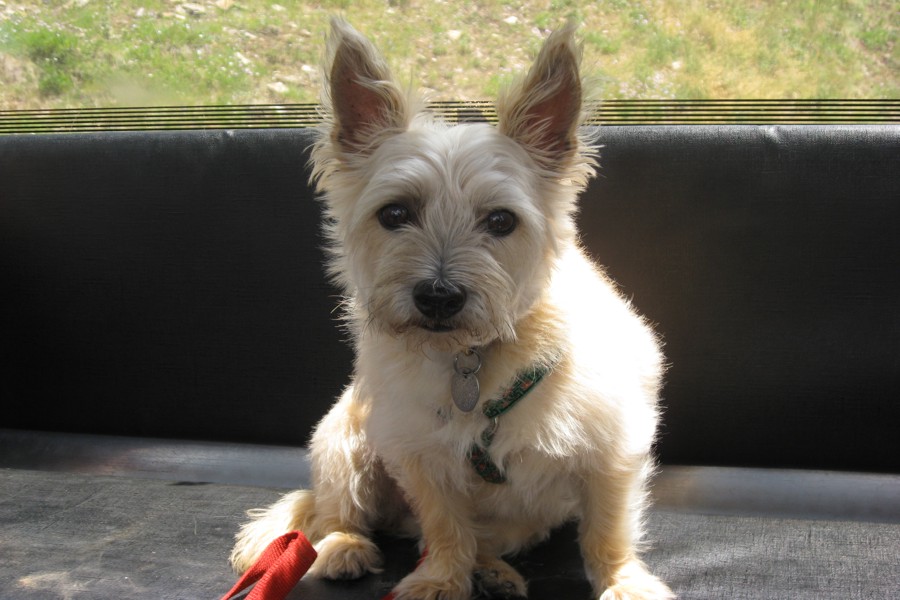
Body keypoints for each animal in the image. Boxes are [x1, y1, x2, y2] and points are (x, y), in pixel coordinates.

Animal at [232, 18, 676, 600]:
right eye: (394, 214)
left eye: (501, 221)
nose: (438, 296)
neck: (476, 359)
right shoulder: (420, 456)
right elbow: (444, 525)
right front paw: (441, 578)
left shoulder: (614, 452)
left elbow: (608, 530)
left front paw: (624, 582)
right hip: (343, 439)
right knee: (337, 511)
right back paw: (345, 547)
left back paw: (493, 571)